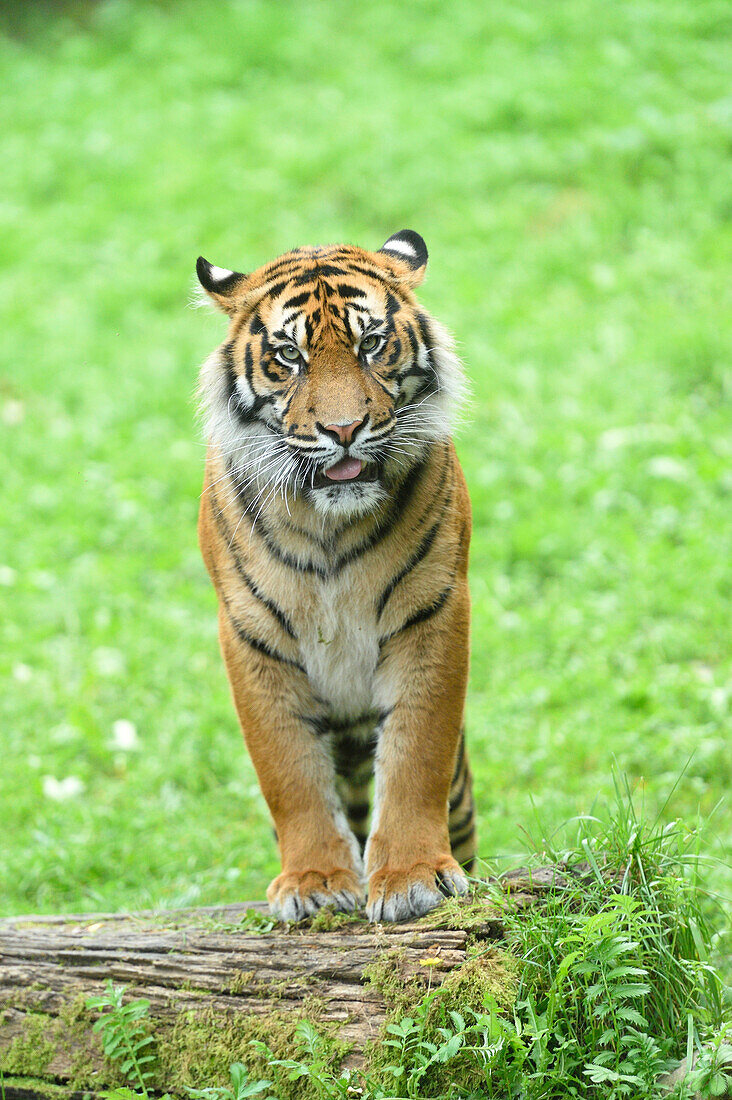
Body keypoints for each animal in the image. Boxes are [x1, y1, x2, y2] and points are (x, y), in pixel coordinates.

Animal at [197, 229, 477, 919]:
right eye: (288, 356)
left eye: (370, 344)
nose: (344, 430)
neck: (329, 526)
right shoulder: (251, 635)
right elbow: (288, 772)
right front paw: (316, 882)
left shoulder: (433, 610)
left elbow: (416, 753)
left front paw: (411, 877)